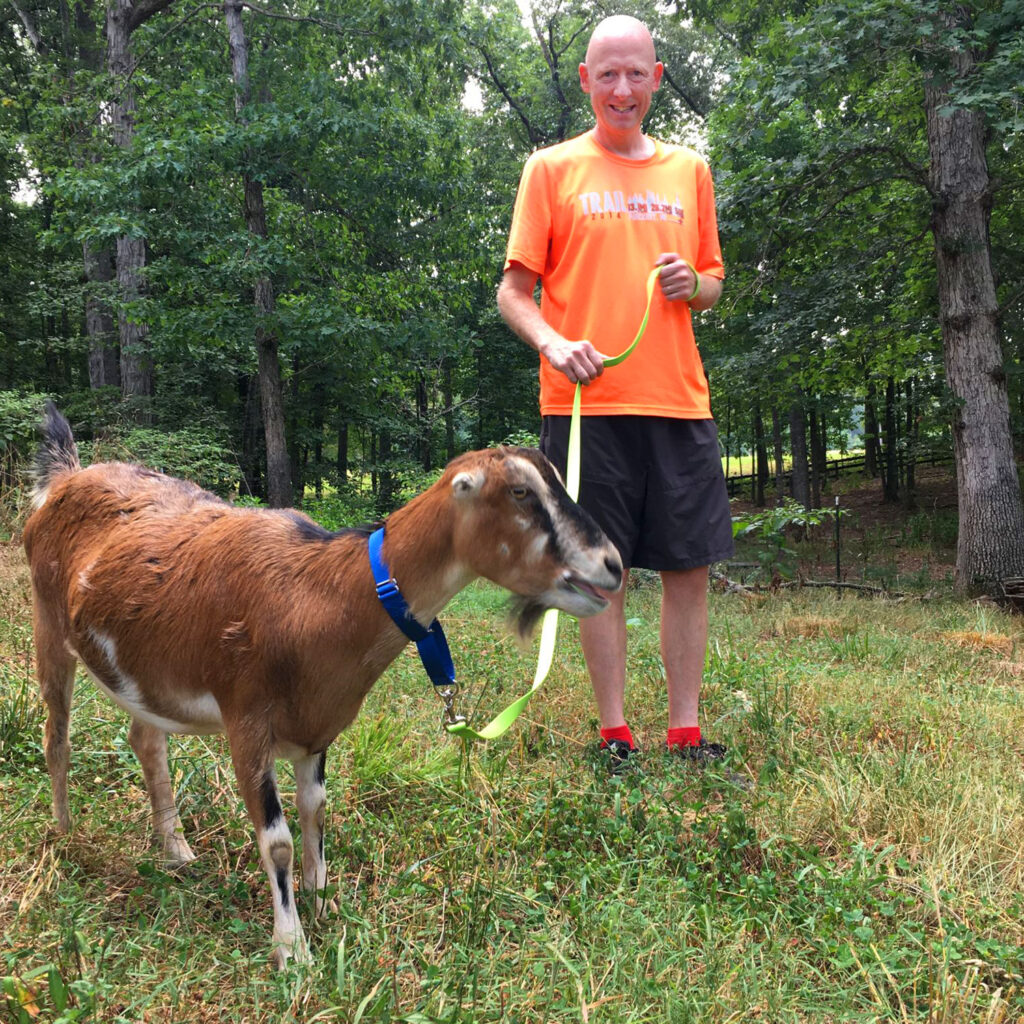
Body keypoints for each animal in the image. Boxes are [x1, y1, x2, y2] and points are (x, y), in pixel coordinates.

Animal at [24, 405, 618, 966]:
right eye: (520, 492)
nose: (611, 564)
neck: (319, 592)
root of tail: (64, 478)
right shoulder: (246, 719)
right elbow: (278, 842)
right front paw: (293, 951)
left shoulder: (315, 728)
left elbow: (316, 808)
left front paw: (322, 899)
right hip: (48, 622)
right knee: (57, 735)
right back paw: (66, 835)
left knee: (146, 740)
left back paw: (176, 850)